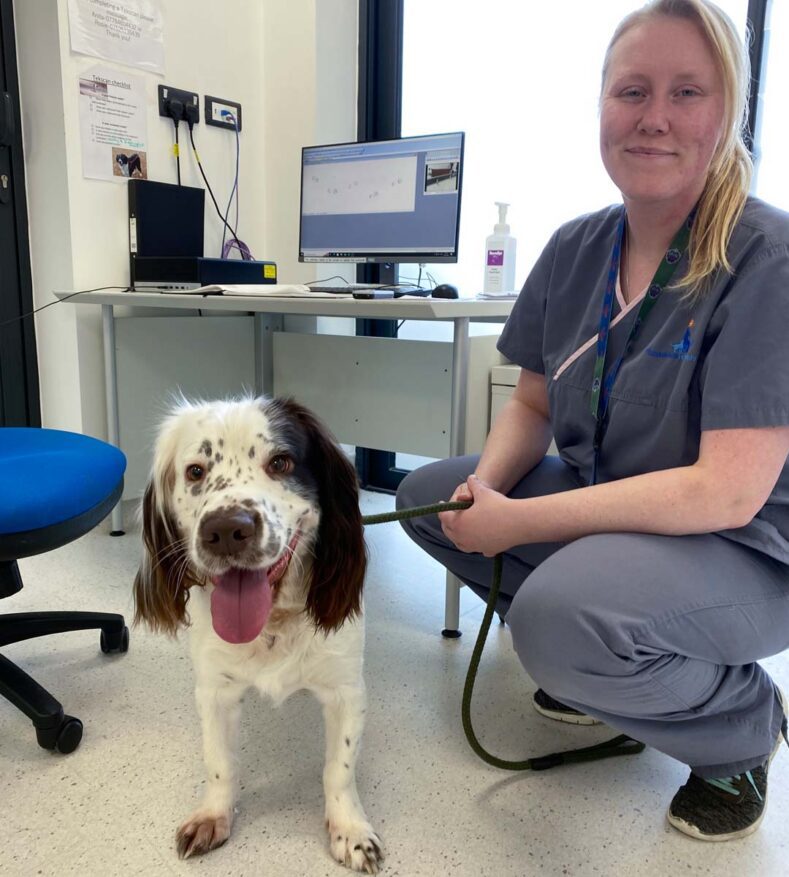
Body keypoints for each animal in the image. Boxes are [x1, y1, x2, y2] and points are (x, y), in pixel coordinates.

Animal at [132, 396, 382, 868]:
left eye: (281, 462)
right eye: (196, 471)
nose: (226, 529)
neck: (272, 622)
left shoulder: (346, 689)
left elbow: (338, 768)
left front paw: (350, 829)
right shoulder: (214, 690)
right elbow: (219, 762)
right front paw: (214, 814)